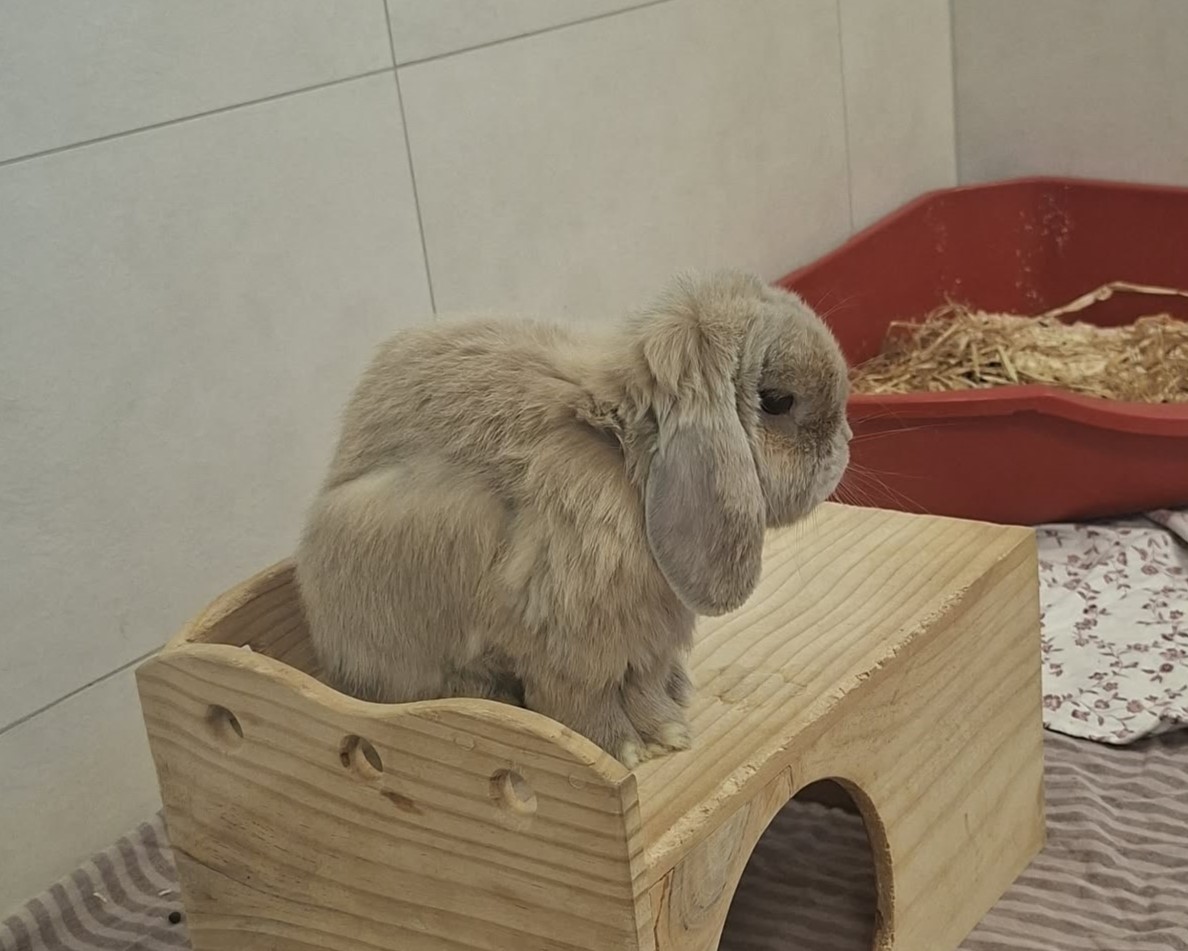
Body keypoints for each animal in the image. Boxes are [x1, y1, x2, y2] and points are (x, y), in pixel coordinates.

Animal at [295, 270, 851, 768]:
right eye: (777, 401)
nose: (844, 447)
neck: (626, 456)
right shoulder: (572, 644)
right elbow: (580, 701)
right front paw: (626, 750)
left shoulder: (644, 643)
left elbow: (644, 687)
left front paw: (667, 733)